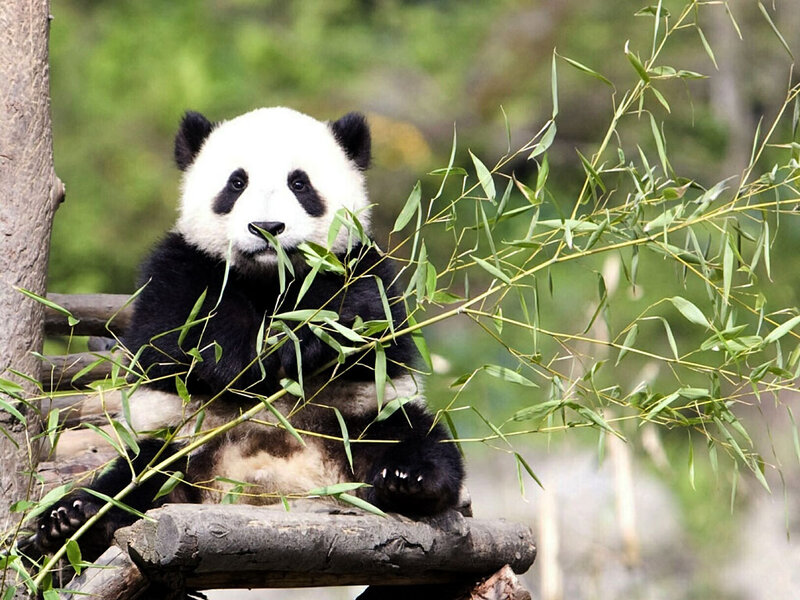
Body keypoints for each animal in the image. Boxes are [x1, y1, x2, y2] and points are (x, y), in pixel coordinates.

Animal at [34, 107, 465, 561]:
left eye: (299, 183)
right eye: (236, 182)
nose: (267, 226)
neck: (268, 277)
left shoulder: (359, 264)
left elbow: (368, 325)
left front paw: (300, 341)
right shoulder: (180, 267)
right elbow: (179, 336)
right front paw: (256, 356)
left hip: (357, 421)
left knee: (414, 439)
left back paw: (408, 481)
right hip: (180, 444)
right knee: (135, 479)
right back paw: (71, 520)